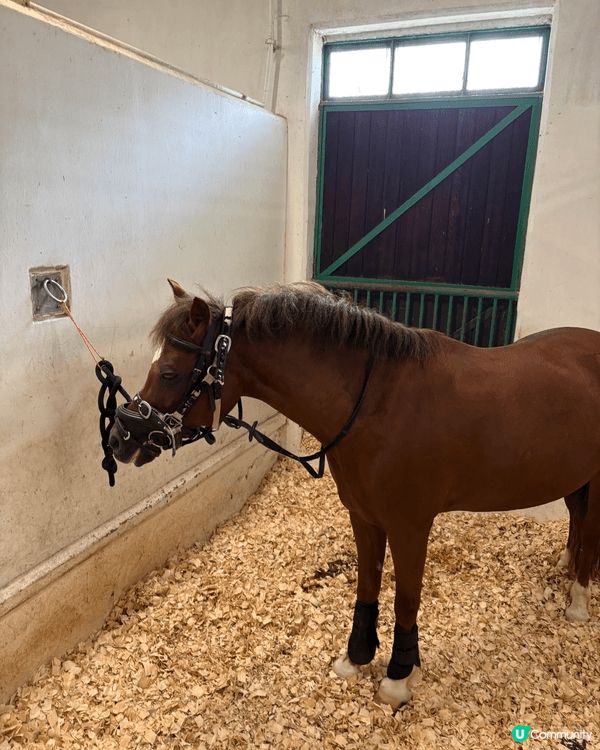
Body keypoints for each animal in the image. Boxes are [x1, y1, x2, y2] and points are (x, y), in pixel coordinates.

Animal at [108, 279, 600, 708]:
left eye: (169, 372)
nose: (120, 438)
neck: (378, 403)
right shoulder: (364, 517)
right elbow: (368, 586)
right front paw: (356, 658)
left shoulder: (410, 526)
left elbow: (406, 598)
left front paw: (398, 678)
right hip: (575, 476)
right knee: (578, 517)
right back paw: (566, 567)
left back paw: (578, 599)